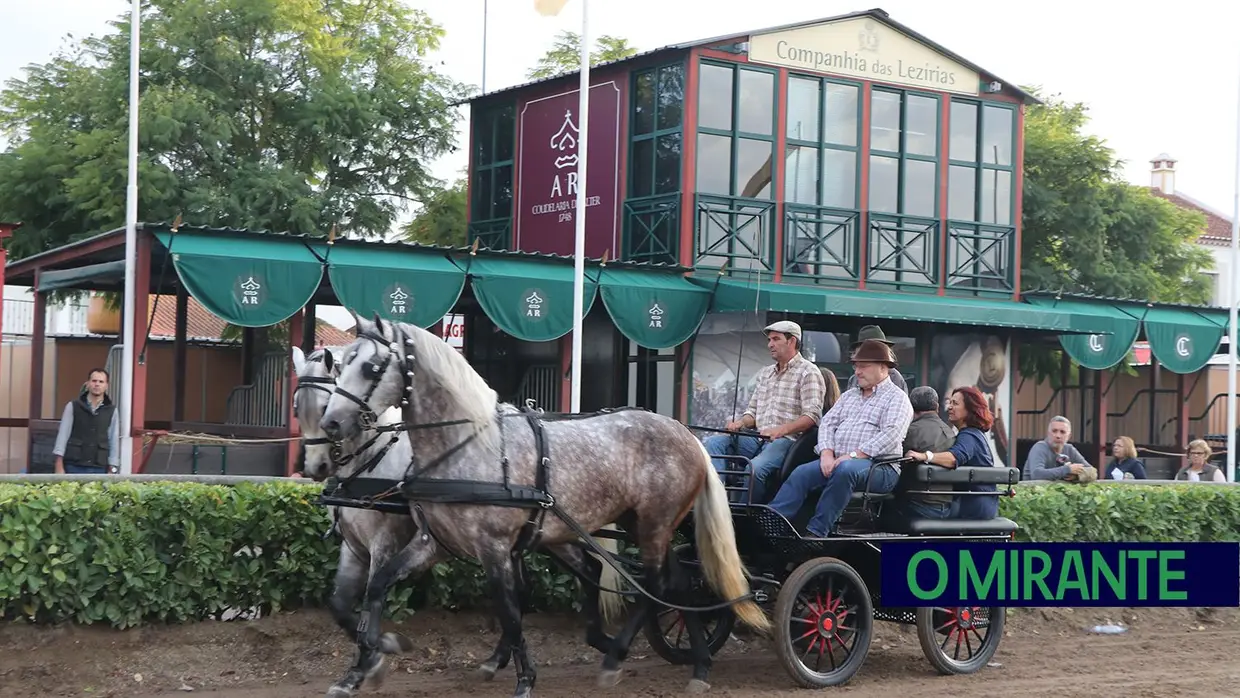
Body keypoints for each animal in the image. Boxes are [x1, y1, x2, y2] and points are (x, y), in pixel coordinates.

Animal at [317, 317, 763, 698]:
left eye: (372, 367)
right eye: (341, 366)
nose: (331, 424)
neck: (467, 445)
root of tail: (687, 436)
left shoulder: (494, 547)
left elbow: (510, 611)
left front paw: (525, 679)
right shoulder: (432, 543)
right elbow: (376, 587)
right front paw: (372, 657)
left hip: (654, 523)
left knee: (653, 585)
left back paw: (616, 657)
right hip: (640, 524)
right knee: (678, 583)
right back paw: (699, 664)